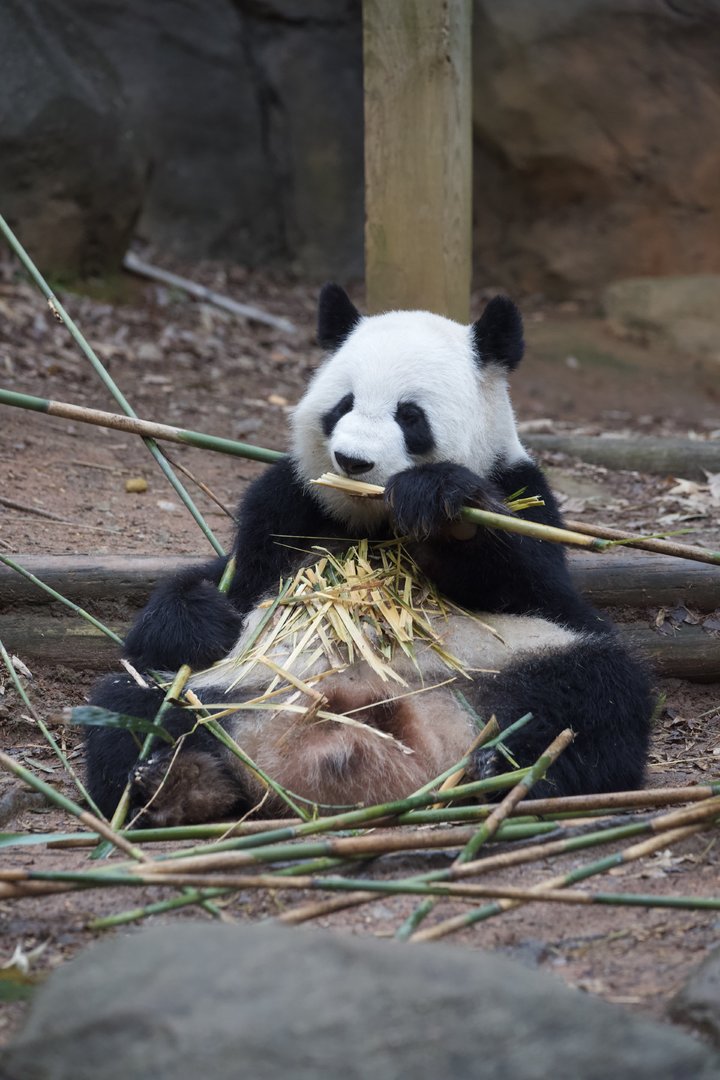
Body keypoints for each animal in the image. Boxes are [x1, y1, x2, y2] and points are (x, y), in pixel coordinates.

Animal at [85, 284, 652, 825]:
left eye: (410, 416)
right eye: (343, 405)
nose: (352, 460)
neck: (370, 518)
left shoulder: (519, 491)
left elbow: (532, 584)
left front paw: (443, 506)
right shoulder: (289, 504)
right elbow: (227, 585)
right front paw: (201, 616)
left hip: (519, 660)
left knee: (596, 696)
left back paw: (503, 771)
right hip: (234, 688)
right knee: (132, 706)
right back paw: (179, 783)